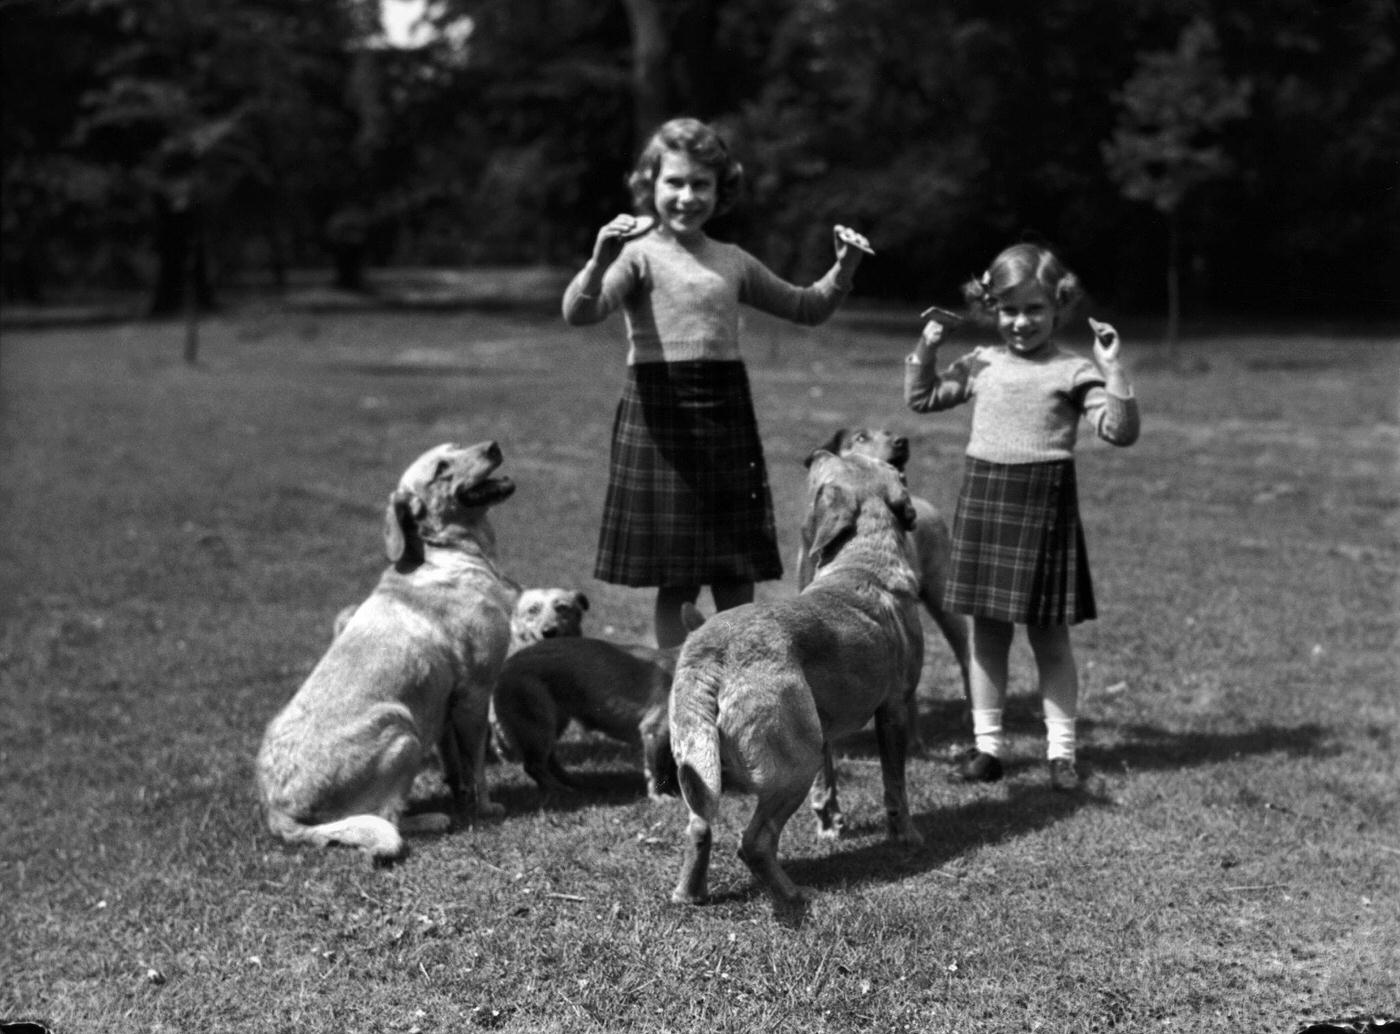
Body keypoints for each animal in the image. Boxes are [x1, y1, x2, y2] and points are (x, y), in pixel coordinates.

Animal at [254, 442, 518, 861]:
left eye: (457, 447)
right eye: (442, 468)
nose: (493, 446)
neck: (445, 553)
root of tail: (278, 815)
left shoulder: (445, 704)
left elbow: (456, 764)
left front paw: (463, 797)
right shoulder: (476, 693)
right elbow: (476, 764)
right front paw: (485, 806)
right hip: (402, 731)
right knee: (387, 817)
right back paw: (432, 818)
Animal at [669, 453, 924, 906]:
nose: (816, 454)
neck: (864, 558)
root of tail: (712, 651)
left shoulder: (824, 728)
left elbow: (833, 781)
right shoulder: (894, 708)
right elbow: (896, 785)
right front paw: (907, 837)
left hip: (701, 761)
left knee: (700, 825)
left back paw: (689, 894)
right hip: (795, 765)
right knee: (754, 842)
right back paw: (793, 893)